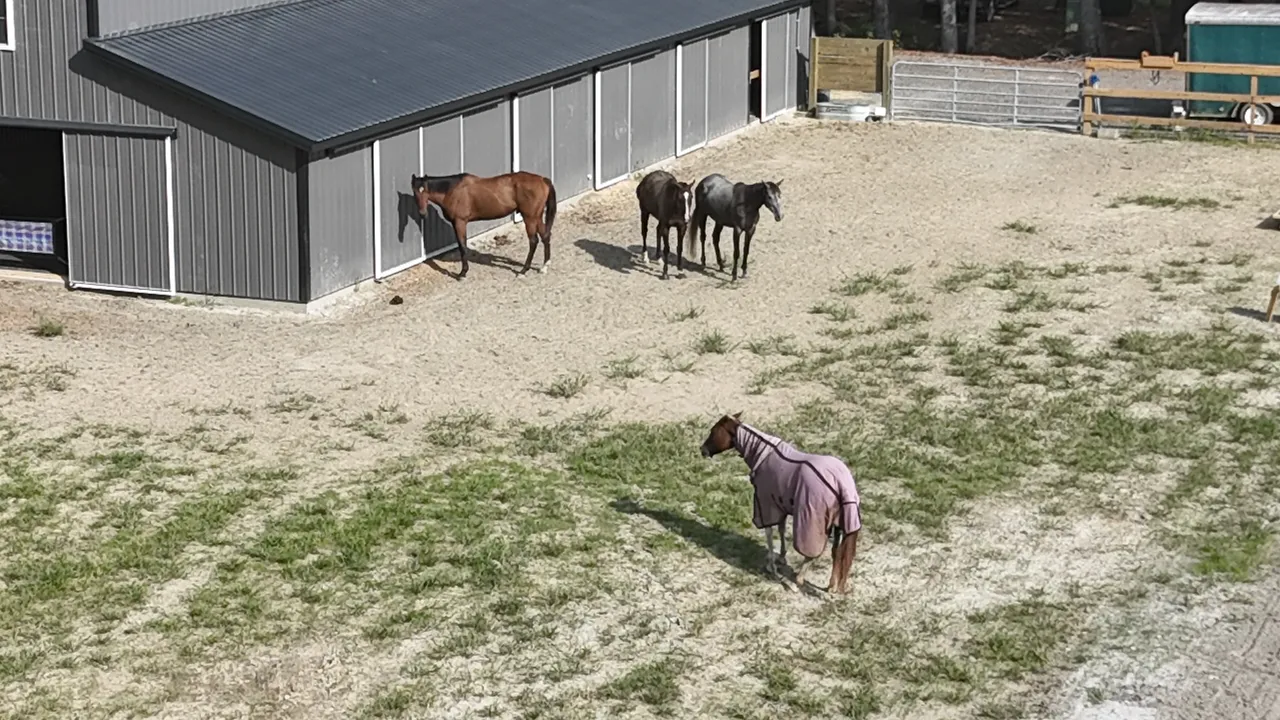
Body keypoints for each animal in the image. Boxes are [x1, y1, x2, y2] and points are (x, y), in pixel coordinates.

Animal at [409, 171, 557, 279]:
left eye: (425, 190)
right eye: (415, 192)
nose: (422, 213)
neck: (452, 190)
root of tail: (542, 179)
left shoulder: (460, 222)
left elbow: (462, 246)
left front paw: (462, 273)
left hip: (530, 218)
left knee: (533, 241)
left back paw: (523, 271)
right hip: (537, 216)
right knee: (545, 235)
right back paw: (544, 266)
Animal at [699, 412, 861, 595]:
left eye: (714, 431)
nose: (702, 450)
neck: (763, 454)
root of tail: (841, 483)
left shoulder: (765, 504)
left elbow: (770, 534)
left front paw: (771, 566)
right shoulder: (779, 504)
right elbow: (781, 529)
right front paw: (782, 558)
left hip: (812, 522)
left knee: (812, 553)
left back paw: (797, 581)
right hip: (839, 524)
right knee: (837, 552)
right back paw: (831, 586)